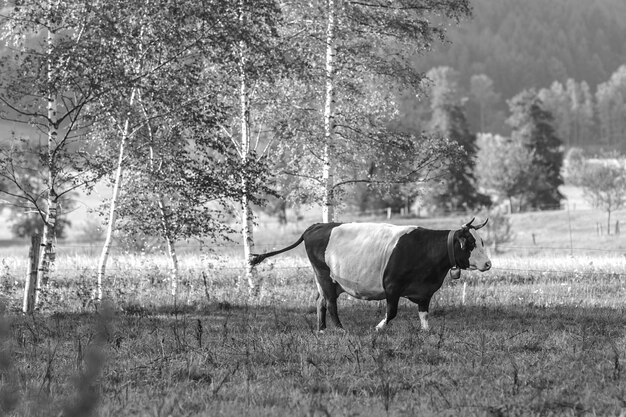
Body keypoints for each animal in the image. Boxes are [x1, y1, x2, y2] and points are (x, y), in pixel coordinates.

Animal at [247, 218, 488, 332]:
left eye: (482, 242)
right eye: (471, 244)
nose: (488, 263)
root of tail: (316, 226)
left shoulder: (425, 291)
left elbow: (424, 313)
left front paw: (427, 331)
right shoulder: (392, 285)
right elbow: (392, 312)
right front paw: (378, 327)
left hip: (327, 280)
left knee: (320, 301)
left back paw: (322, 329)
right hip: (324, 274)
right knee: (330, 303)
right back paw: (341, 329)